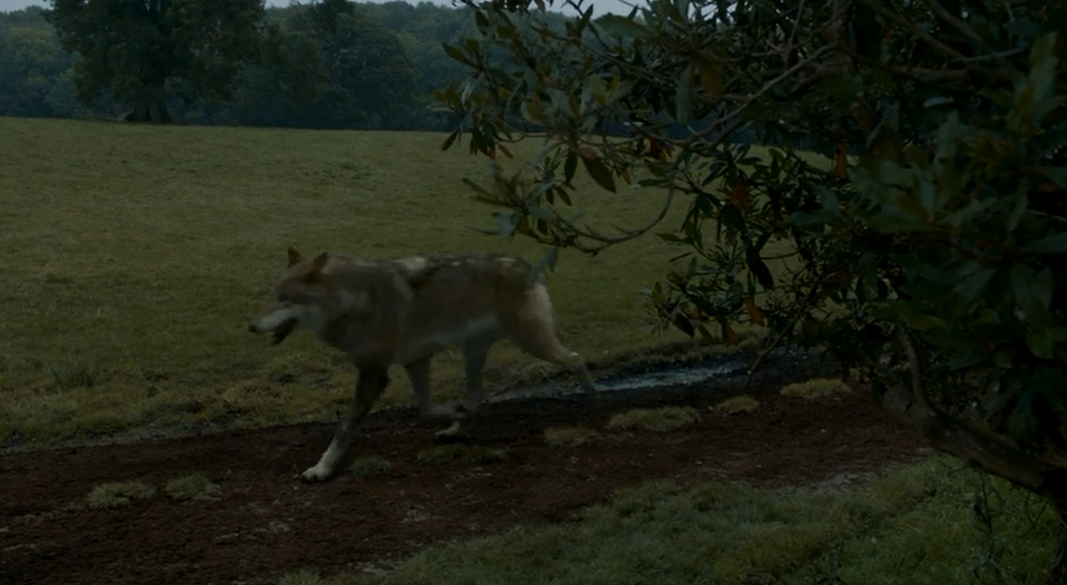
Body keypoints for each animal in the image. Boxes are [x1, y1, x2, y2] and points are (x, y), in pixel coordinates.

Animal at [248, 247, 596, 482]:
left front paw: (321, 469)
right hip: (474, 354)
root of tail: (525, 263)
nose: (250, 326)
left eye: (284, 300)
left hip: (533, 345)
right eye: (270, 296)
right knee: (477, 397)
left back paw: (593, 401)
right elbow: (426, 409)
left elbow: (344, 427)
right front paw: (454, 414)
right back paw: (457, 428)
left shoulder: (375, 373)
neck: (354, 302)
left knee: (577, 360)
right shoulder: (415, 363)